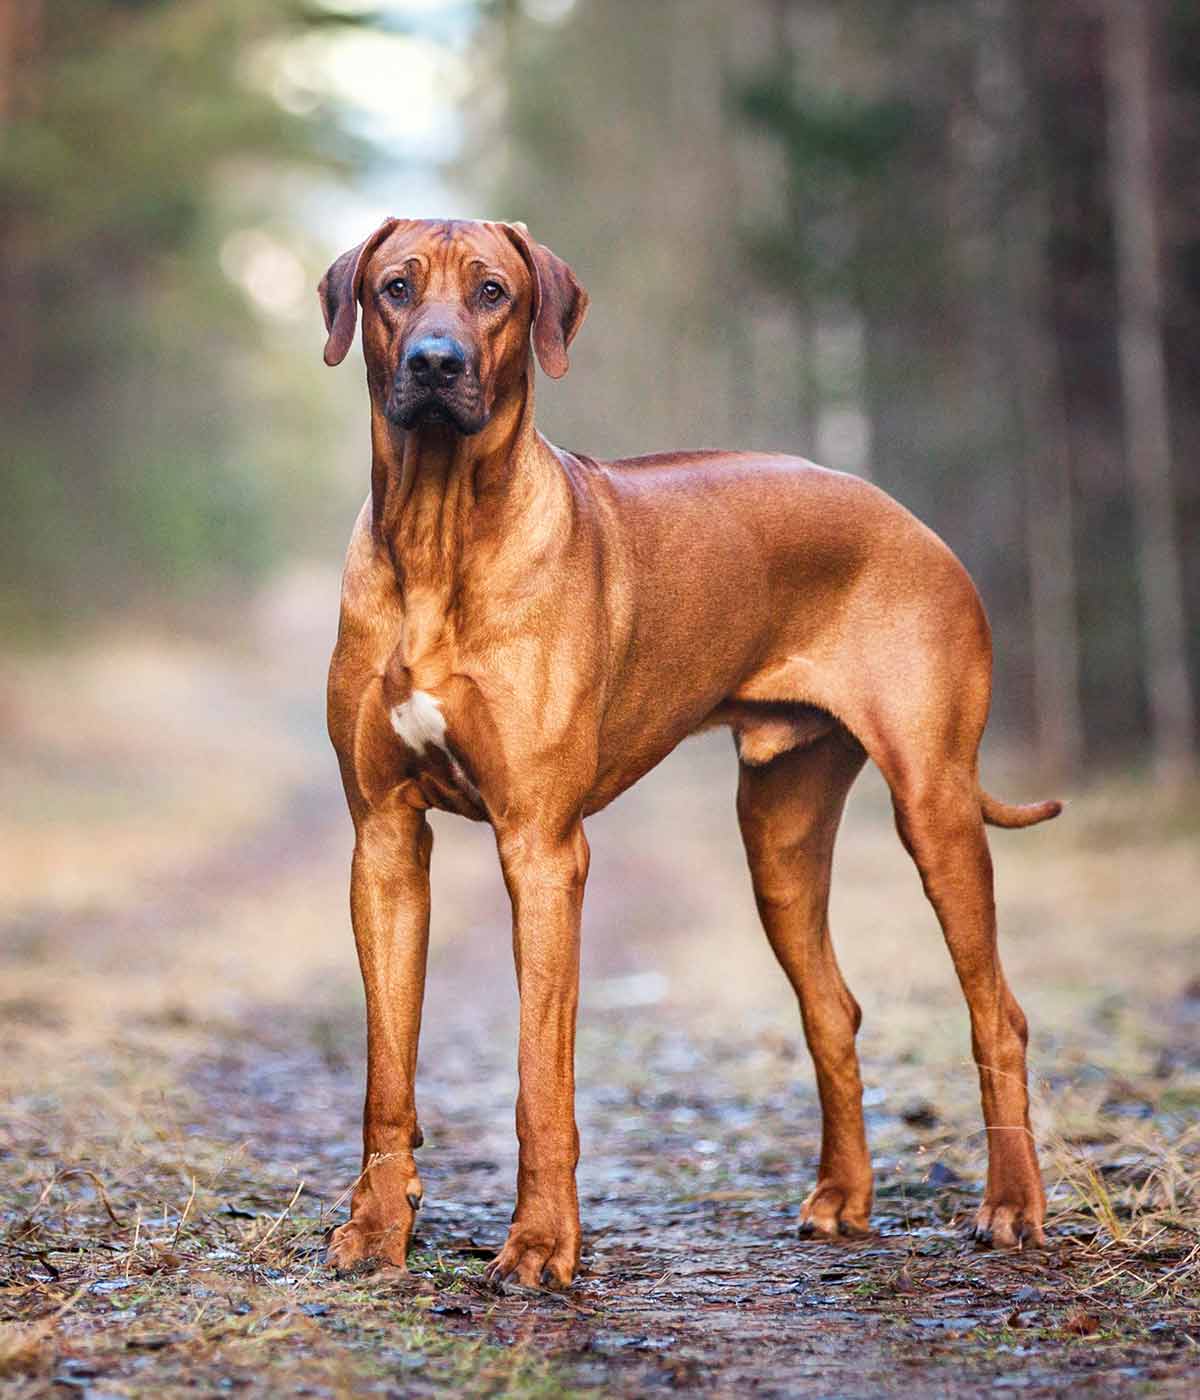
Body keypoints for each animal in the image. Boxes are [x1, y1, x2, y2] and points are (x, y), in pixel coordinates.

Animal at [317, 221, 1058, 1288]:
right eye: (395, 288)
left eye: (493, 293)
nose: (435, 362)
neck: (439, 532)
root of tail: (911, 519)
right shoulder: (381, 841)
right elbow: (386, 1071)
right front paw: (378, 1228)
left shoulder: (543, 850)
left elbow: (540, 1078)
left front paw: (540, 1244)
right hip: (779, 836)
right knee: (833, 1008)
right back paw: (843, 1199)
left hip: (935, 805)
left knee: (998, 1011)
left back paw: (1011, 1205)